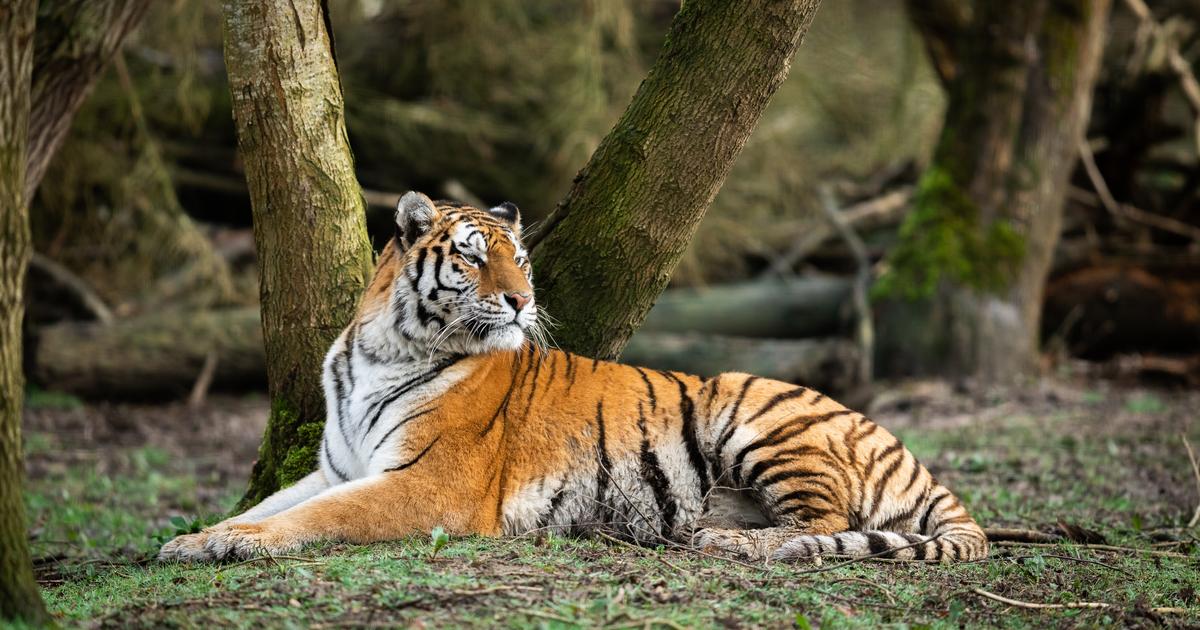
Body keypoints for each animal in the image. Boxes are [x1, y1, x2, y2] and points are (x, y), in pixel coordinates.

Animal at [159, 191, 988, 563]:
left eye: (518, 259)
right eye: (470, 257)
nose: (523, 300)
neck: (383, 349)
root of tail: (906, 450)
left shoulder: (428, 483)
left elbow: (319, 516)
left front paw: (239, 545)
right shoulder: (338, 465)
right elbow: (277, 500)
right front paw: (197, 539)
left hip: (757, 414)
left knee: (826, 520)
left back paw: (731, 543)